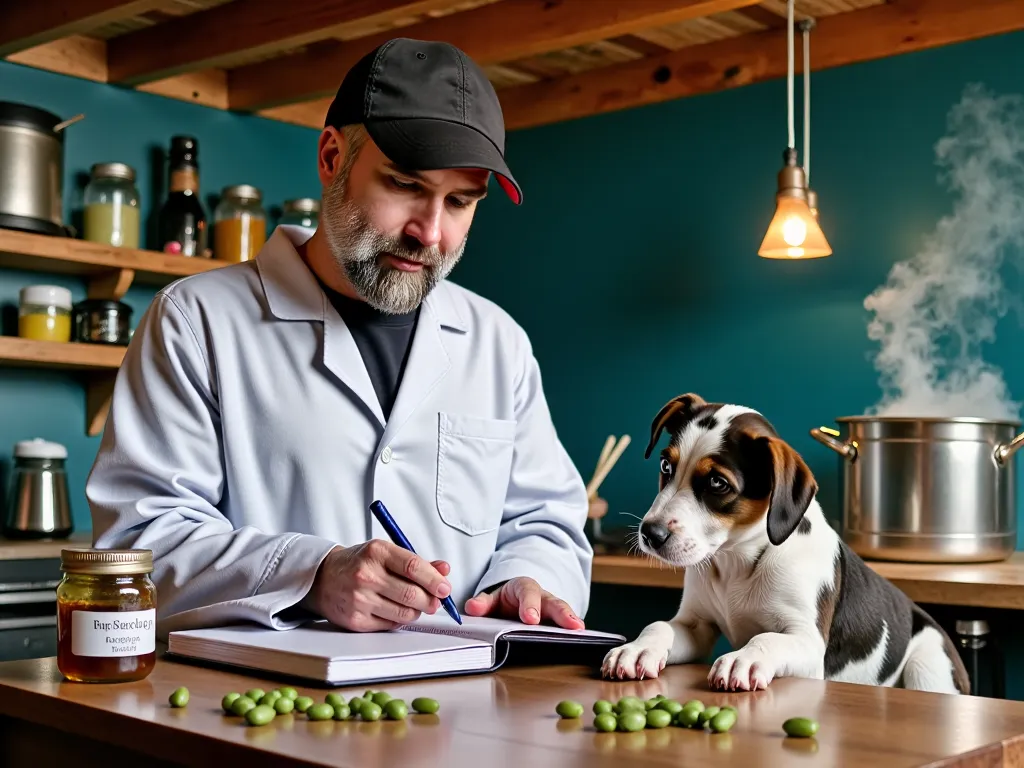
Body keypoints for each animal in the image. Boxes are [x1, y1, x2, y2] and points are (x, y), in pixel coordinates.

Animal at [602, 397, 970, 696]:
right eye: (666, 466)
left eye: (717, 483)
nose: (650, 534)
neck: (737, 561)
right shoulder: (697, 625)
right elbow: (659, 625)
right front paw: (638, 649)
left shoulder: (808, 643)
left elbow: (765, 638)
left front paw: (744, 659)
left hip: (928, 665)